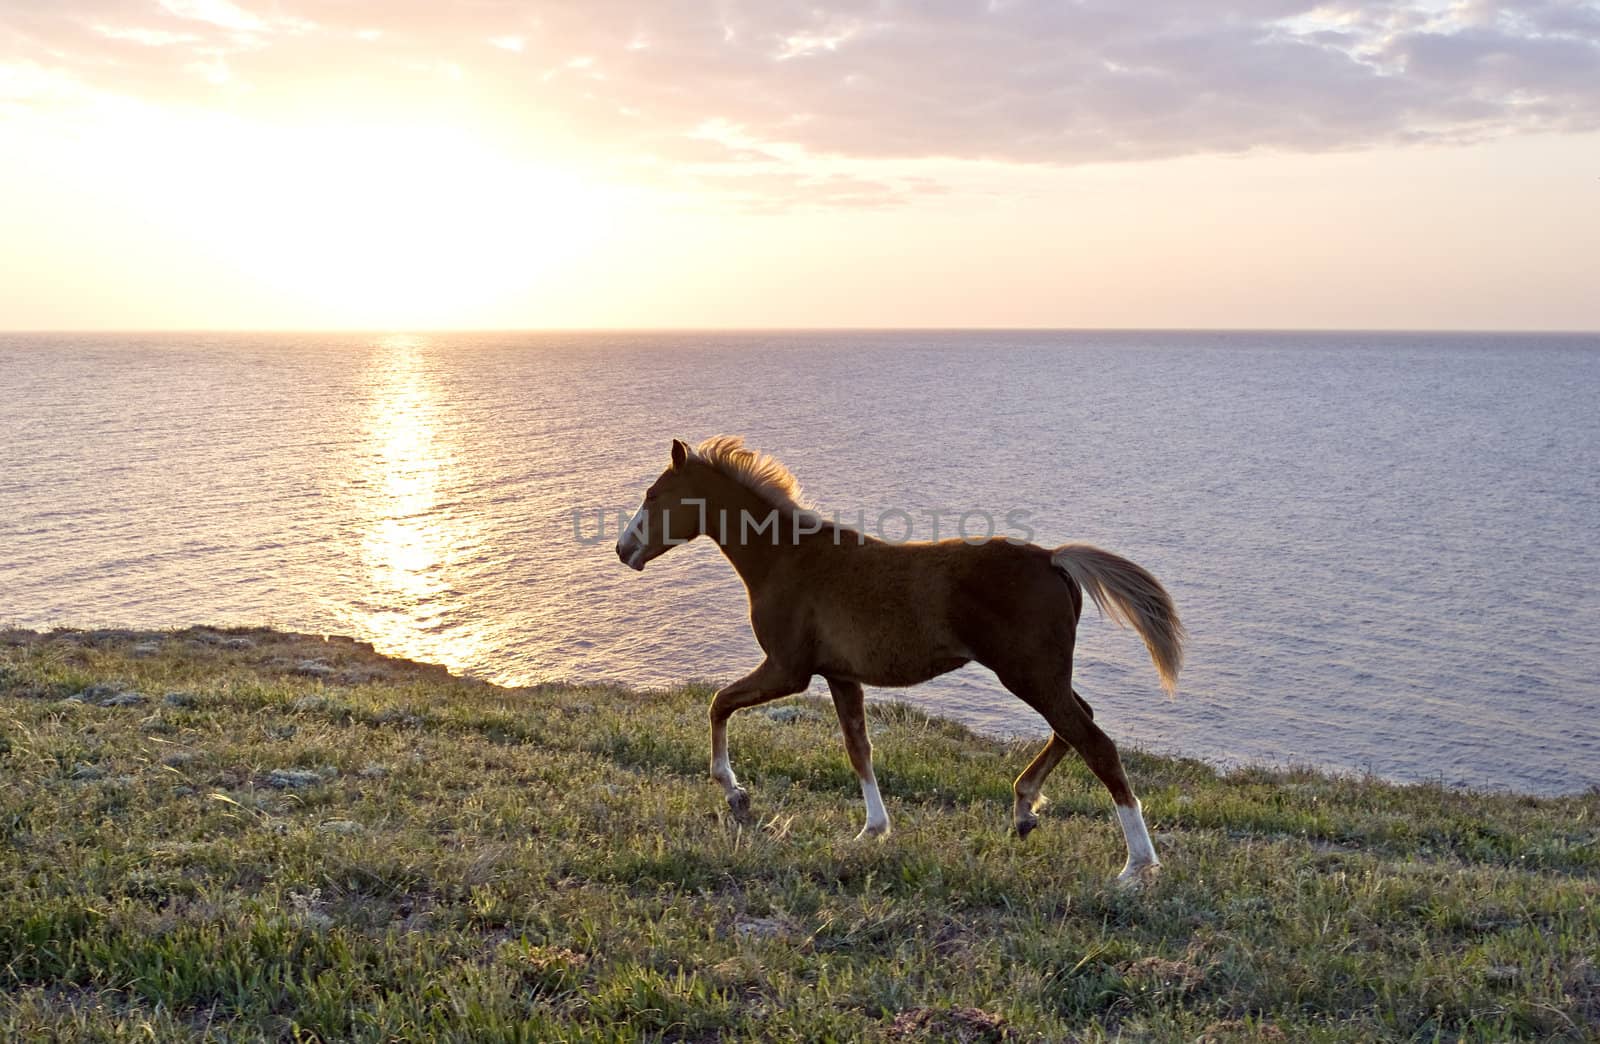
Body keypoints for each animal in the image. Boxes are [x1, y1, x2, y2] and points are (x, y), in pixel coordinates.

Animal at [617, 432, 1184, 883]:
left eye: (654, 496)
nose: (624, 550)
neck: (787, 559)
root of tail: (1052, 559)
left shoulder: (788, 669)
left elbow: (719, 703)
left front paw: (735, 795)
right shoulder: (840, 675)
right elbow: (858, 748)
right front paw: (873, 830)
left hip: (1030, 674)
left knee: (1095, 743)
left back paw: (1137, 865)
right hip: (1042, 675)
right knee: (1076, 724)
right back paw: (1025, 808)